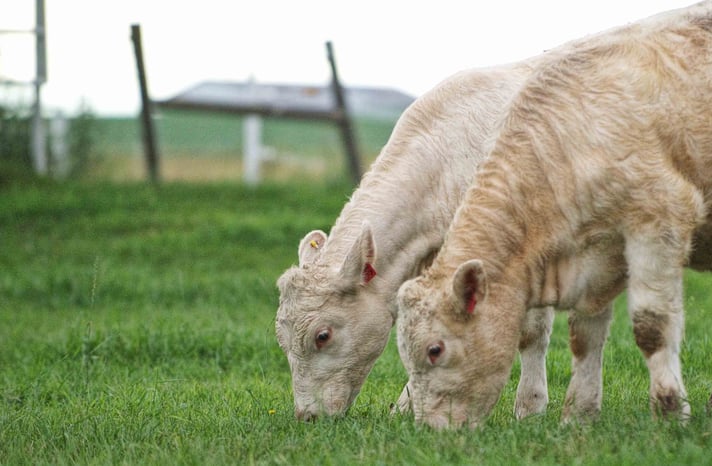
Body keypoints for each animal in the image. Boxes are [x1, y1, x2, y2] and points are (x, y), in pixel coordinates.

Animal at [396, 0, 712, 430]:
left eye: (435, 349)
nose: (430, 431)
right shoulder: (601, 255)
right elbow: (583, 337)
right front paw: (578, 415)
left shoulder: (658, 221)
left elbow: (652, 327)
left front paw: (669, 415)